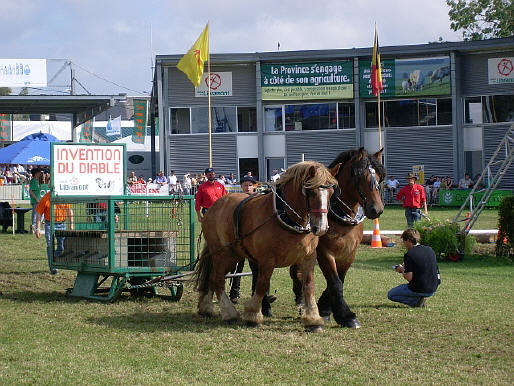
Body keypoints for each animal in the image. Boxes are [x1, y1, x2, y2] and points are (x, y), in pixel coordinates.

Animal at [194, 161, 338, 334]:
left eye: (331, 192)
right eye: (310, 192)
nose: (321, 227)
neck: (286, 217)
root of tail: (214, 206)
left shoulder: (308, 257)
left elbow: (309, 286)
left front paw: (313, 320)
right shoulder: (266, 260)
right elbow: (262, 285)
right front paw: (253, 315)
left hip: (234, 255)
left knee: (211, 277)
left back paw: (207, 307)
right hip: (222, 254)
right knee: (218, 279)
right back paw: (229, 313)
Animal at [288, 149, 384, 328]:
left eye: (380, 178)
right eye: (361, 177)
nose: (377, 210)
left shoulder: (349, 253)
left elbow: (339, 279)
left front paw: (325, 307)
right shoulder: (324, 252)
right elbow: (335, 283)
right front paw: (345, 315)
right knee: (297, 273)